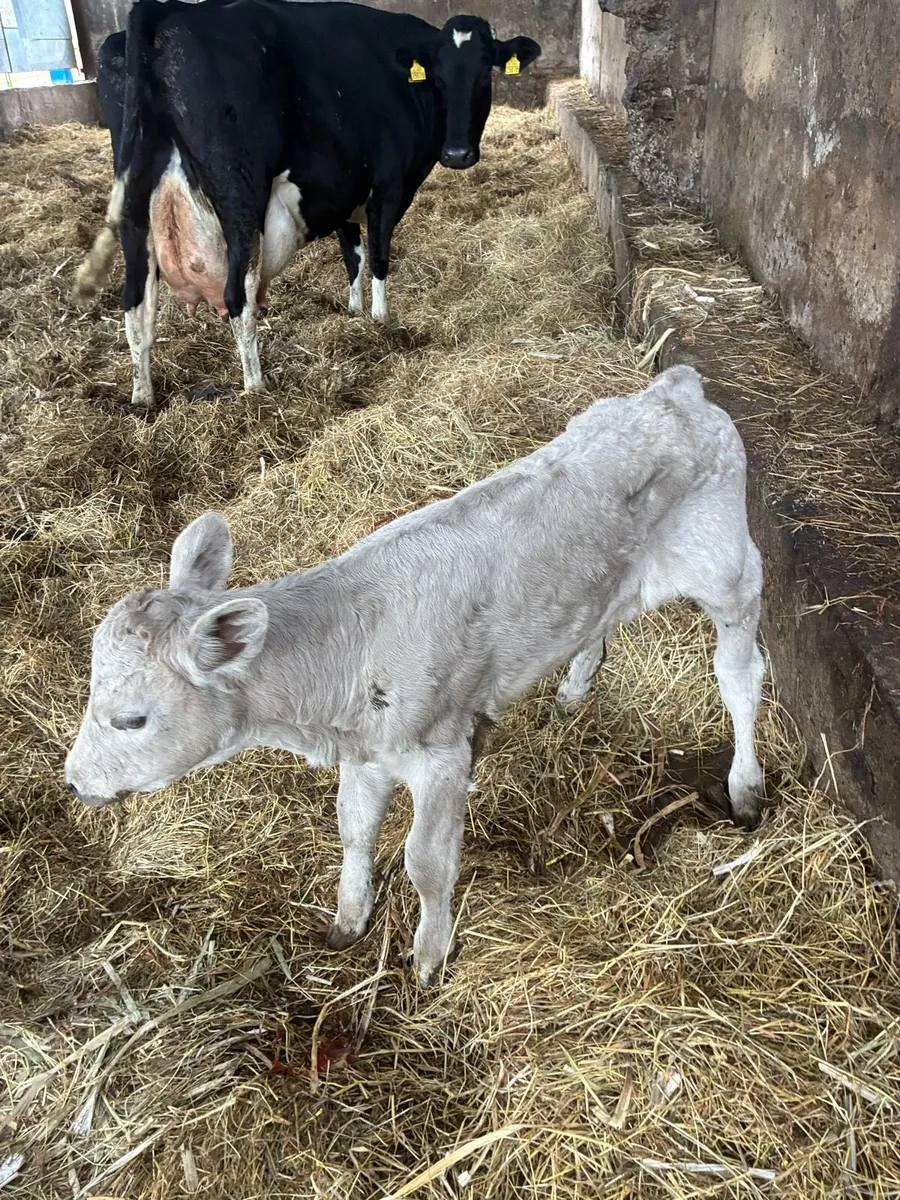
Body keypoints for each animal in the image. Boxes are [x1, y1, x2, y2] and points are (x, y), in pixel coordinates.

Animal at [65, 366, 766, 985]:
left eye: (132, 718)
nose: (73, 783)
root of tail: (672, 389)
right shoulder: (365, 752)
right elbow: (352, 830)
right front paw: (348, 922)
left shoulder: (443, 753)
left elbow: (425, 862)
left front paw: (430, 956)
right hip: (603, 577)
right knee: (601, 616)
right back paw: (573, 687)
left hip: (727, 566)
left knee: (740, 676)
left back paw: (745, 788)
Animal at [74, 0, 541, 408]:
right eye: (439, 79)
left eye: (484, 76)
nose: (458, 154)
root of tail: (168, 9)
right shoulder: (389, 187)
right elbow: (378, 257)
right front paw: (380, 321)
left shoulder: (345, 191)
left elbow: (353, 255)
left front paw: (354, 312)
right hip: (240, 195)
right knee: (237, 298)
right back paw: (257, 387)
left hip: (135, 205)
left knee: (136, 304)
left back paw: (143, 398)